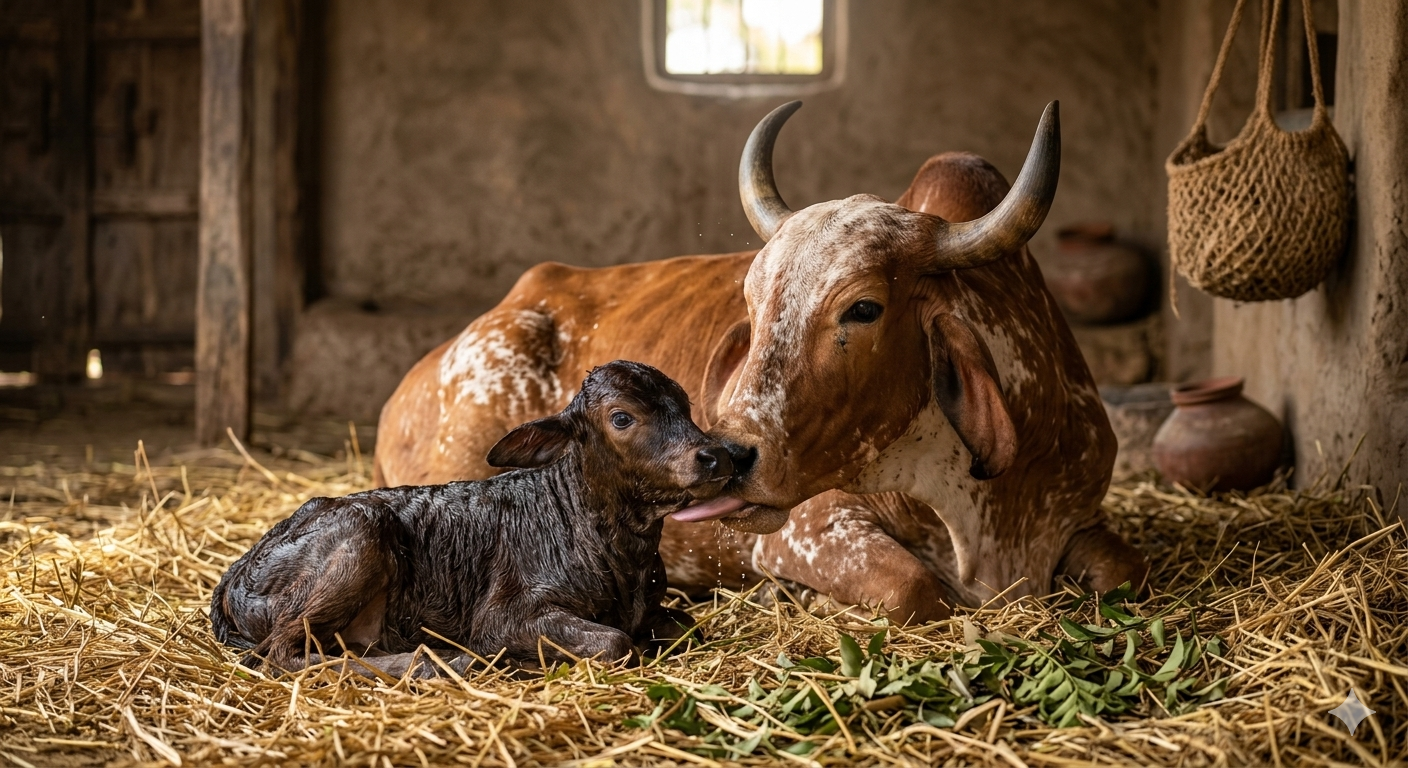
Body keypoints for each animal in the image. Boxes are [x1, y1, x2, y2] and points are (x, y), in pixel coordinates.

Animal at [374, 101, 1147, 623]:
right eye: (751, 300)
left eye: (864, 308)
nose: (728, 456)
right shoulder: (807, 532)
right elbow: (915, 589)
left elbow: (1126, 572)